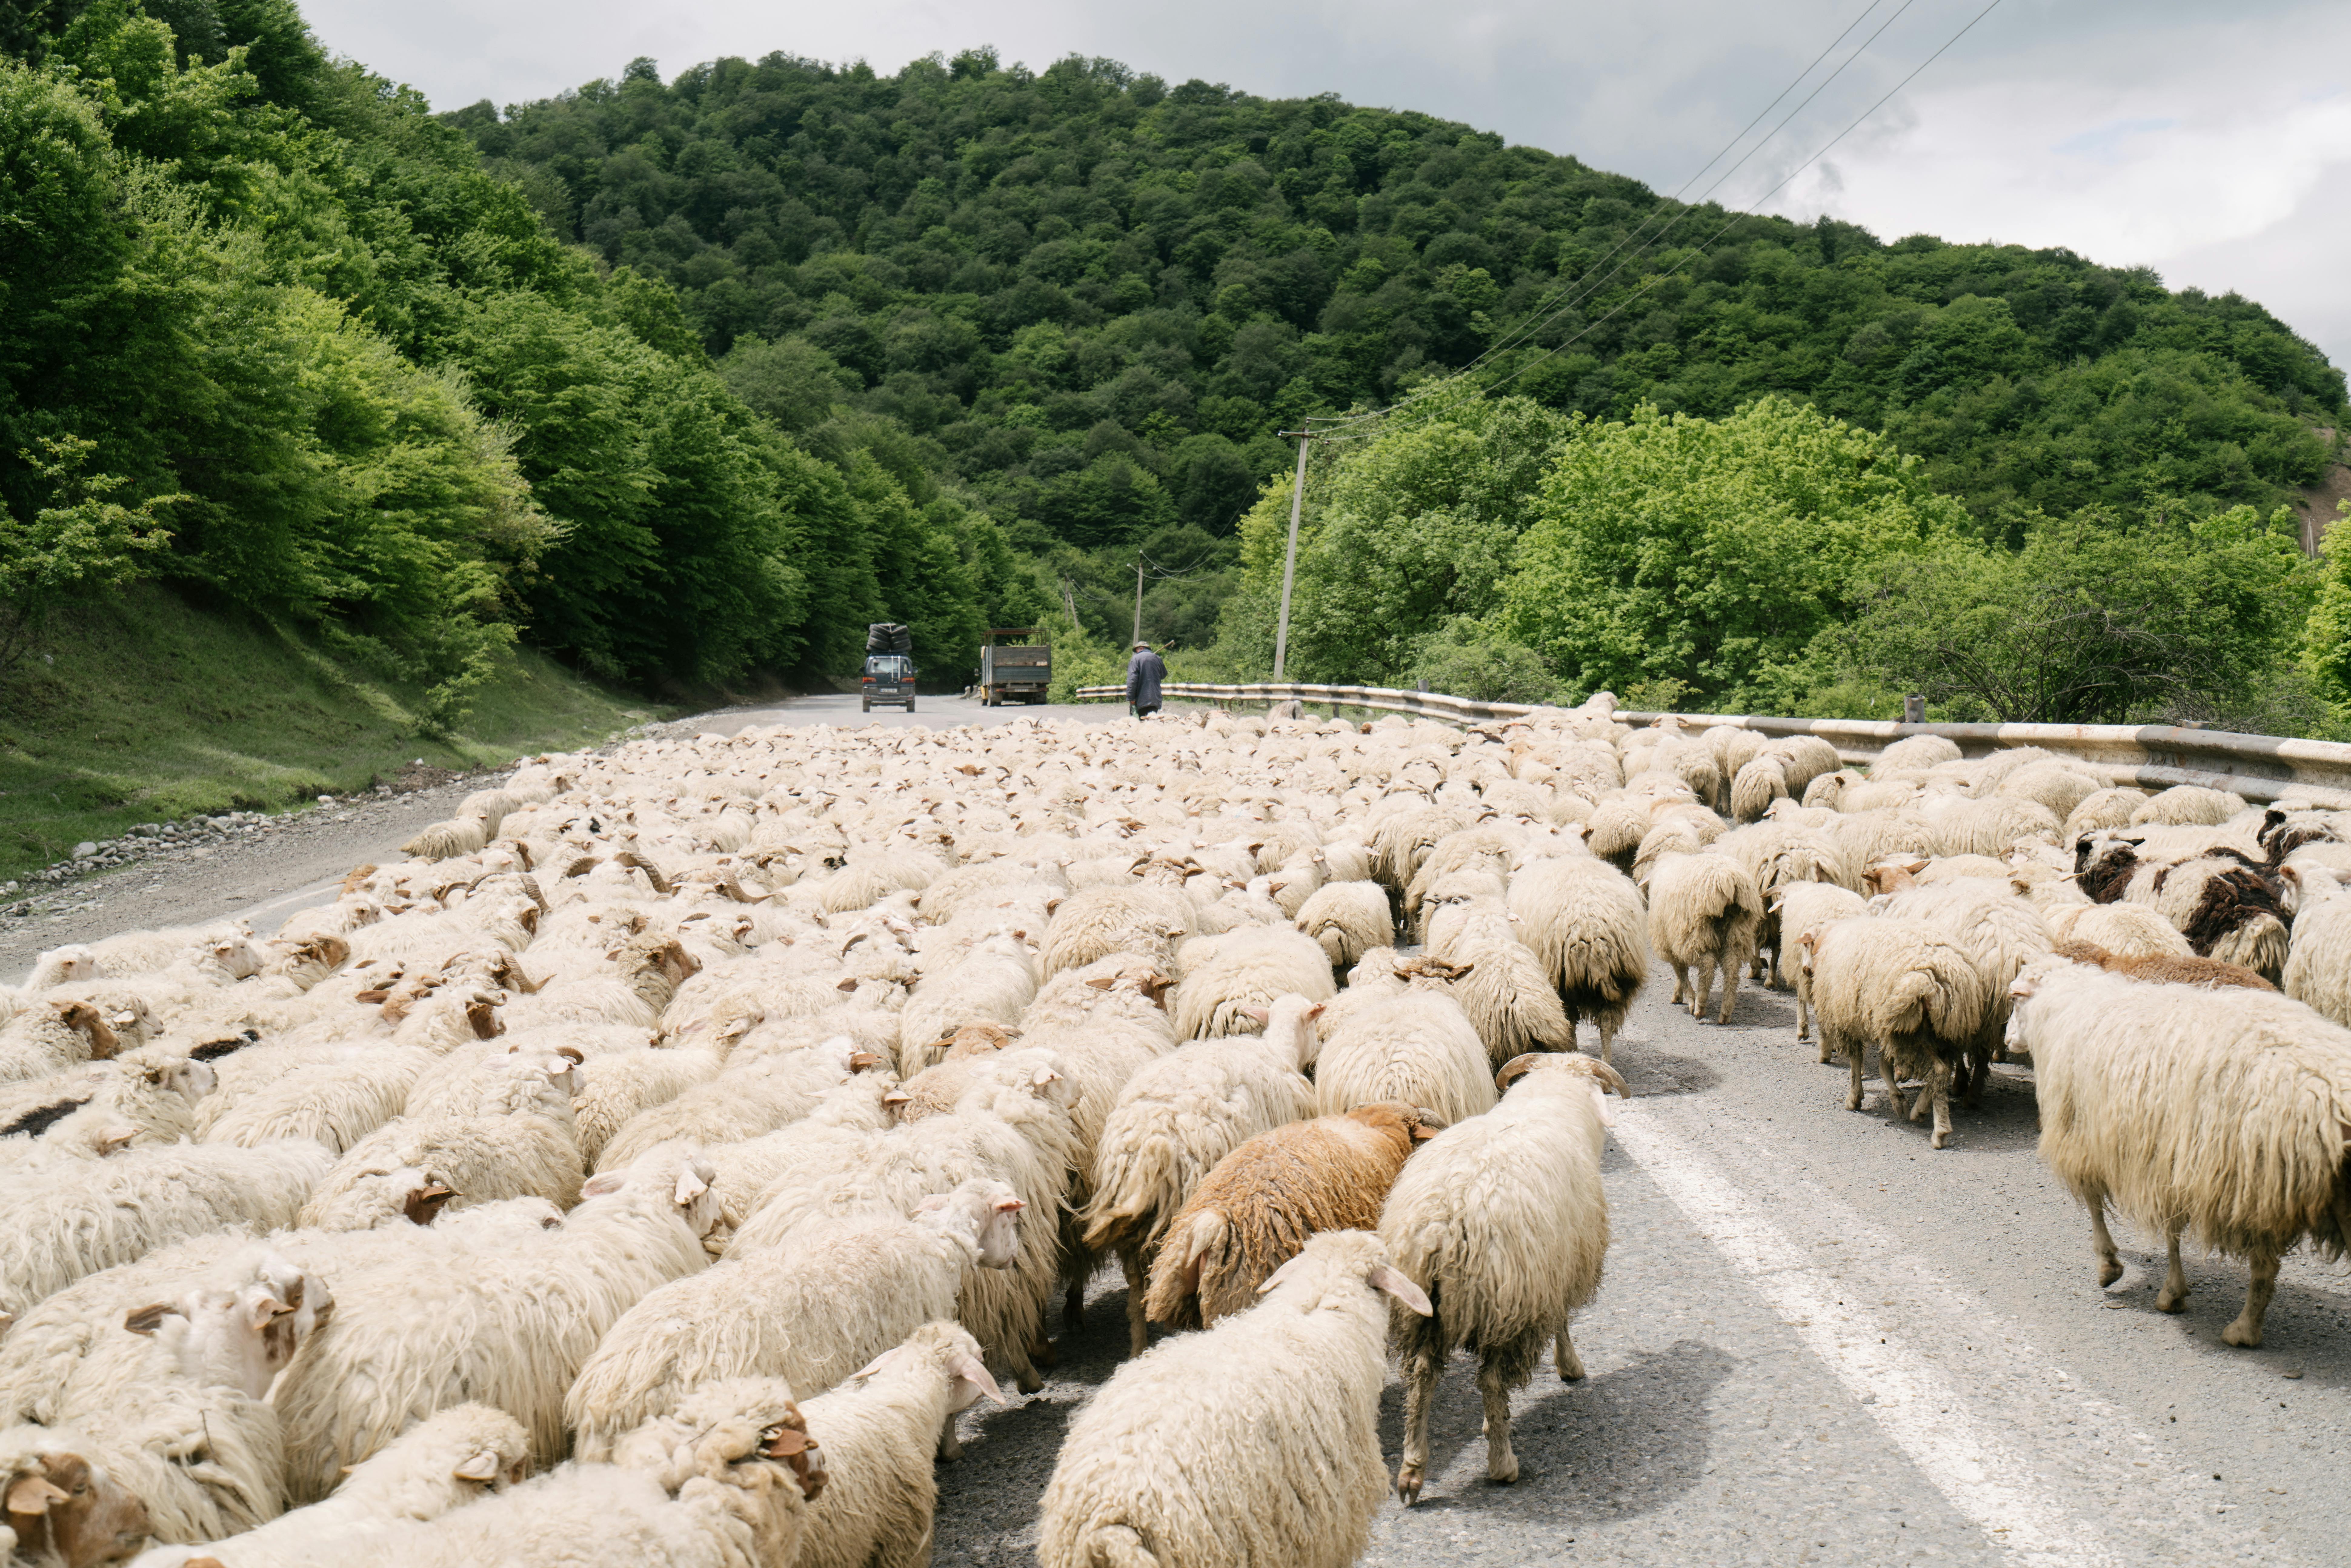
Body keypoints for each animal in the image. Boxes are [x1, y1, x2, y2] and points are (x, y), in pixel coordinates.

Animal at [564, 1178, 1020, 1464]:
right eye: (1009, 1217)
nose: (1016, 1256)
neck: (937, 1244)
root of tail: (604, 1397)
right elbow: (946, 1409)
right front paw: (951, 1451)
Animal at [1382, 1052, 1627, 1503]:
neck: (1550, 1098)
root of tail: (1447, 1222)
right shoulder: (1553, 1274)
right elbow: (1563, 1321)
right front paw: (1570, 1367)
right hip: (1509, 1306)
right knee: (1492, 1380)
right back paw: (1503, 1463)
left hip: (1422, 1308)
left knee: (1421, 1377)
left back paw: (1412, 1470)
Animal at [1647, 850, 1764, 1025]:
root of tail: (1728, 881)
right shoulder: (1676, 940)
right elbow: (1681, 972)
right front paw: (1678, 995)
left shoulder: (1672, 940)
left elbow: (1681, 972)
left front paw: (1689, 999)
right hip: (1739, 931)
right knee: (1732, 968)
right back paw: (1725, 1013)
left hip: (1699, 931)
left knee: (1707, 967)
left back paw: (1700, 1008)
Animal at [1796, 917, 1991, 1148]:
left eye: (1807, 945)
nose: (1805, 970)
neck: (1828, 938)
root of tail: (1938, 978)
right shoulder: (1883, 1029)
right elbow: (1883, 1067)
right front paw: (1898, 1099)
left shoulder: (1849, 1021)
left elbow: (1856, 1062)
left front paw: (1855, 1098)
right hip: (1949, 1031)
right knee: (1945, 1068)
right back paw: (1921, 1109)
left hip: (1910, 1032)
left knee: (1939, 1071)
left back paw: (1940, 1131)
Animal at [2006, 965, 2351, 1346]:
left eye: (2013, 999)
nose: (2007, 1040)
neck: (2065, 1007)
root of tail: (2334, 1097)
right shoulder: (2162, 1160)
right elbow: (2168, 1228)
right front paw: (2171, 1290)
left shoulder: (2088, 1140)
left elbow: (2101, 1208)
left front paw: (2114, 1269)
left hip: (2258, 1185)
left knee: (2264, 1267)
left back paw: (2242, 1330)